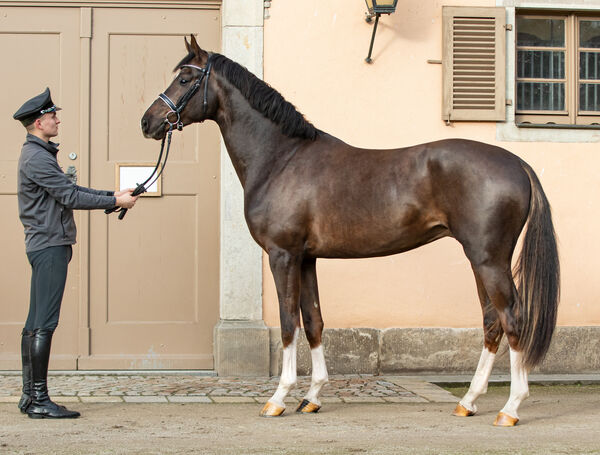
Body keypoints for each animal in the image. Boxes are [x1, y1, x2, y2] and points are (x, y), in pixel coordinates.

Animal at [141, 35, 556, 428]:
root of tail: (517, 163)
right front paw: (312, 398)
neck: (281, 159)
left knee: (512, 319)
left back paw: (510, 408)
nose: (148, 122)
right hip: (480, 260)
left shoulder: (283, 255)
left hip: (489, 260)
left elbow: (289, 322)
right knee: (492, 322)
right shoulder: (306, 259)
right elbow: (314, 322)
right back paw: (467, 402)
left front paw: (278, 399)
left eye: (185, 78)